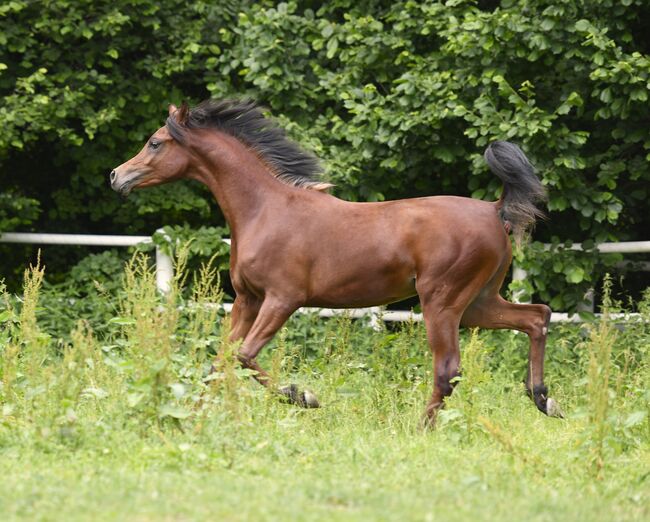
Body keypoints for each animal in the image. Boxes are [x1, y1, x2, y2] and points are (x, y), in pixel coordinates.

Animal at [109, 99, 560, 424]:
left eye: (155, 142)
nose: (117, 176)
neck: (264, 209)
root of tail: (495, 210)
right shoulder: (246, 300)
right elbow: (220, 359)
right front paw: (191, 418)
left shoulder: (282, 299)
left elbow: (245, 357)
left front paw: (304, 397)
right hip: (479, 302)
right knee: (536, 316)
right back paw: (543, 399)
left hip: (443, 302)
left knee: (448, 369)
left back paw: (422, 429)